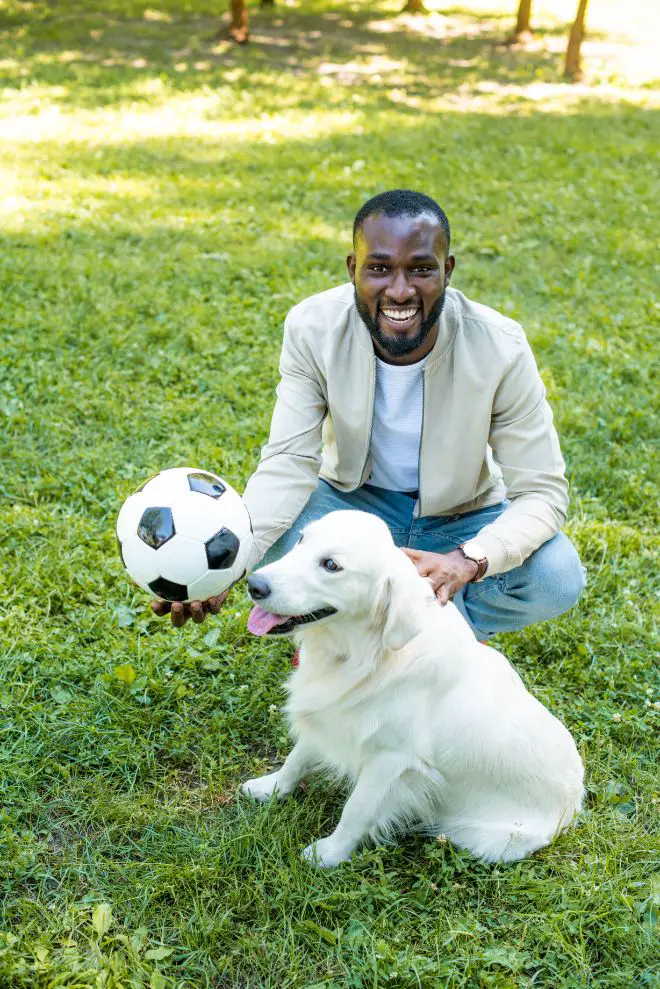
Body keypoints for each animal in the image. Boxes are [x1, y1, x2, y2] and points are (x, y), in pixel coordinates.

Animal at [242, 510, 584, 864]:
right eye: (300, 540)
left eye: (331, 565)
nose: (254, 584)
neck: (364, 654)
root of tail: (573, 808)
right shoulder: (329, 711)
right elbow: (297, 758)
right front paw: (271, 787)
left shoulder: (391, 759)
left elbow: (357, 809)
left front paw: (329, 854)